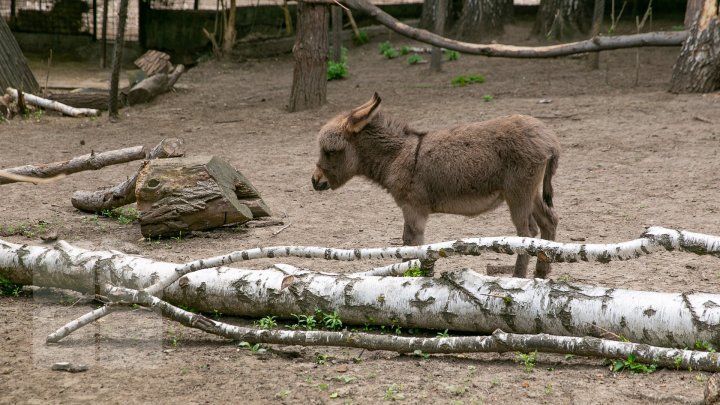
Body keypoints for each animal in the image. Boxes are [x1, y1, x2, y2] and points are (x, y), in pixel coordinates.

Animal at [312, 93, 560, 278]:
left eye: (330, 152)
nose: (315, 181)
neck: (397, 156)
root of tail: (549, 139)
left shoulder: (413, 208)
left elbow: (412, 244)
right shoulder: (410, 209)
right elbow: (408, 243)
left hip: (518, 192)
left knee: (526, 233)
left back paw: (518, 278)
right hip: (530, 192)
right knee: (549, 221)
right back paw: (541, 273)